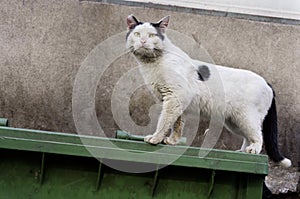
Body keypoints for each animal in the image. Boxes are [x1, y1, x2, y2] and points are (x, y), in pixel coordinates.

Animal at [125, 14, 292, 167]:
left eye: (152, 35)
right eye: (137, 34)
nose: (142, 41)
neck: (152, 63)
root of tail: (267, 83)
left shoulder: (175, 98)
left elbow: (165, 121)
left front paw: (156, 138)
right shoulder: (179, 103)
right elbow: (177, 124)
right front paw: (172, 141)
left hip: (247, 118)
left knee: (258, 135)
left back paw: (253, 150)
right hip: (235, 122)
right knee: (247, 136)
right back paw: (243, 151)